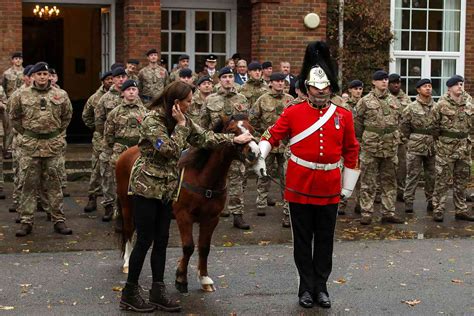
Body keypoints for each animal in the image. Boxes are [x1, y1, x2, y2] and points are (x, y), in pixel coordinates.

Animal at [116, 114, 262, 292]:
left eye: (252, 129)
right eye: (233, 130)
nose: (254, 152)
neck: (203, 179)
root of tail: (126, 153)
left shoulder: (211, 219)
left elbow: (204, 247)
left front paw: (204, 278)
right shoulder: (183, 216)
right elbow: (188, 246)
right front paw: (181, 278)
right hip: (127, 205)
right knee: (128, 230)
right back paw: (127, 262)